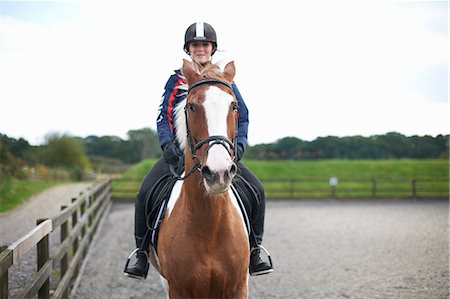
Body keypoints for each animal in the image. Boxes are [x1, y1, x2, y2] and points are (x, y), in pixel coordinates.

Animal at [150, 59, 250, 298]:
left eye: (234, 106)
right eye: (192, 107)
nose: (219, 172)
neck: (209, 227)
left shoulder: (238, 287)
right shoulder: (178, 289)